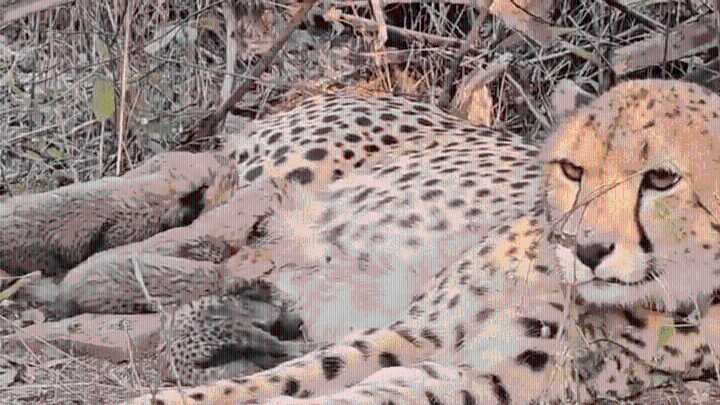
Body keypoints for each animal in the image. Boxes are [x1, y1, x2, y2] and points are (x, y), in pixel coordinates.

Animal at [2, 80, 719, 404]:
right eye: (573, 169)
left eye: (662, 179)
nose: (584, 246)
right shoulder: (416, 331)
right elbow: (290, 379)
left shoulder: (480, 378)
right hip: (296, 169)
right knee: (180, 179)